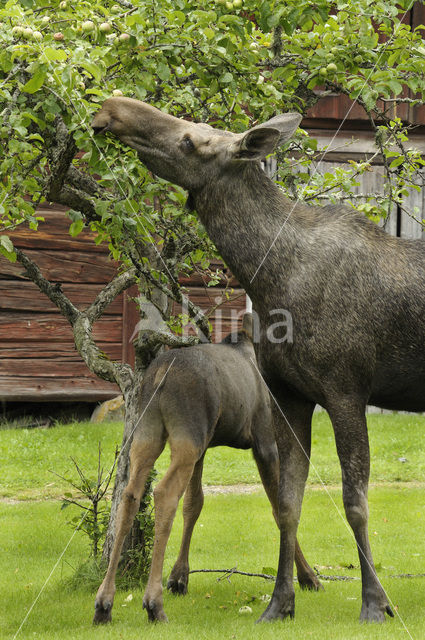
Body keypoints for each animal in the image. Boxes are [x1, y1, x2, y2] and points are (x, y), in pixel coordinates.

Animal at [92, 316, 318, 624]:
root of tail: (160, 374)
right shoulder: (265, 441)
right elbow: (279, 509)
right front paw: (308, 577)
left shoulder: (205, 447)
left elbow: (194, 504)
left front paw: (179, 577)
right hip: (187, 436)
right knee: (164, 494)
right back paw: (153, 604)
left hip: (150, 434)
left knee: (129, 494)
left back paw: (104, 603)